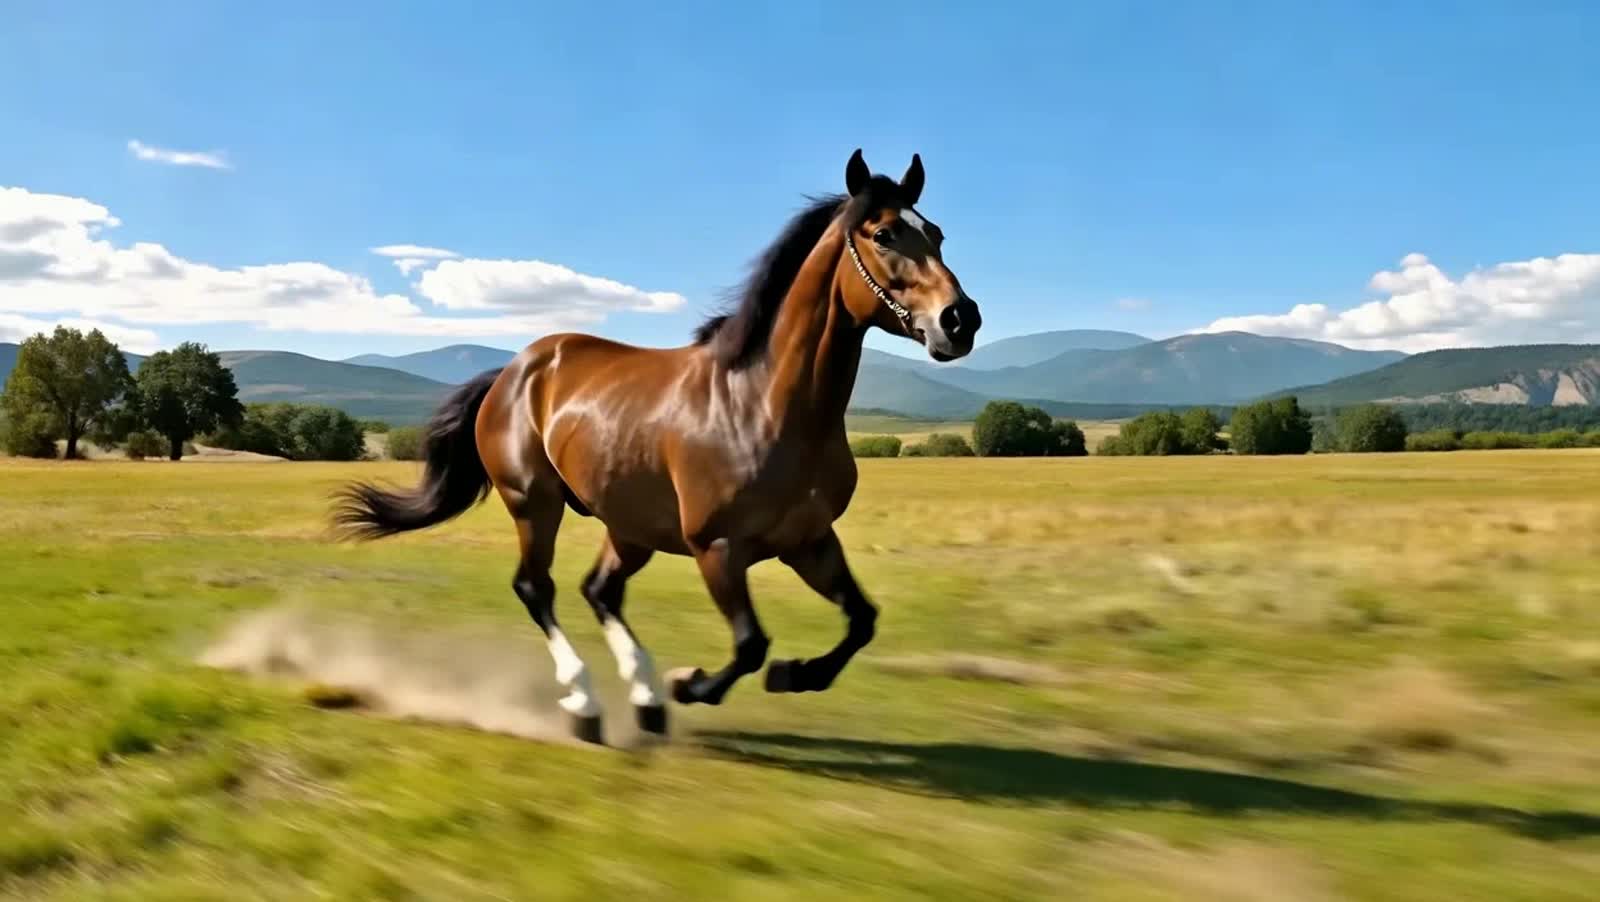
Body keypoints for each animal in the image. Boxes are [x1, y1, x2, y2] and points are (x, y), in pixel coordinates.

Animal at [331, 149, 982, 744]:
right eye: (883, 234)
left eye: (937, 233)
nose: (961, 320)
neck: (763, 405)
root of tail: (513, 372)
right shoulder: (718, 547)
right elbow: (750, 644)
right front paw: (689, 682)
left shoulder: (809, 541)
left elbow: (861, 621)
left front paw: (794, 674)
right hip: (534, 503)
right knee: (536, 588)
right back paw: (588, 705)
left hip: (629, 526)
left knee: (599, 590)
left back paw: (643, 699)